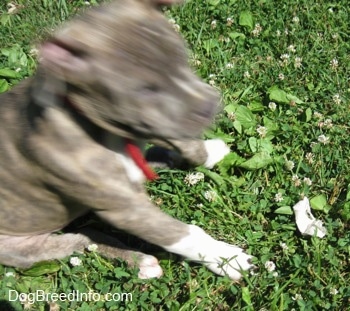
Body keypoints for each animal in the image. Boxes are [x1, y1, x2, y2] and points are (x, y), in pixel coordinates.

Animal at [0, 0, 253, 280]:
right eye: (145, 90)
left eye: (183, 59)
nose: (210, 104)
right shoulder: (125, 209)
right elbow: (182, 234)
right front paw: (224, 258)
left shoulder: (151, 125)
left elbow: (184, 142)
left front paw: (208, 151)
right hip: (24, 247)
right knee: (79, 241)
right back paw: (141, 260)